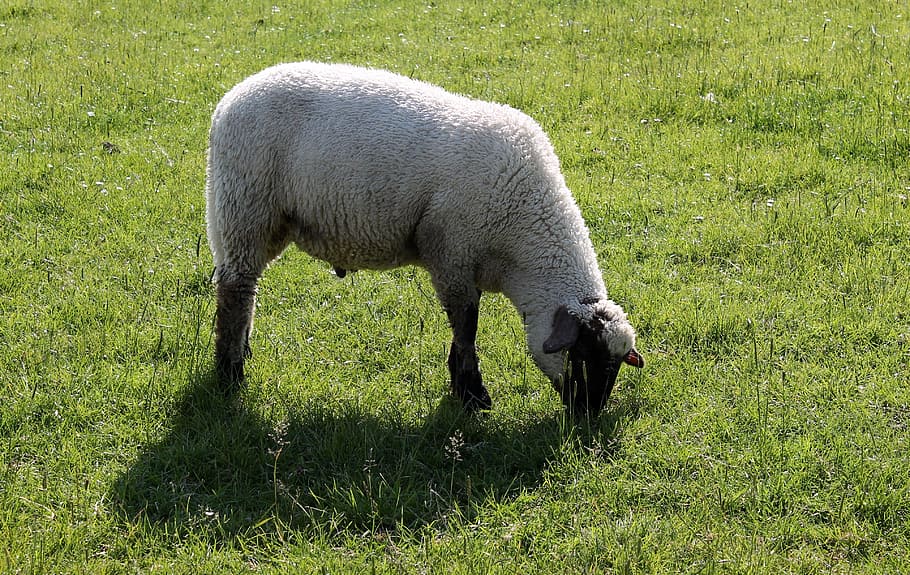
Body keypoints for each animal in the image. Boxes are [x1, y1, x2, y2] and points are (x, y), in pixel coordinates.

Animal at [206, 62, 643, 416]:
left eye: (616, 366)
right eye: (582, 355)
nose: (588, 416)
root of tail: (230, 99)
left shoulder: (465, 266)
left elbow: (463, 328)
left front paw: (461, 387)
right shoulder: (451, 254)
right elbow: (466, 328)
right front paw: (473, 396)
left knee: (246, 290)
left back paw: (241, 354)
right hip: (243, 208)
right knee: (235, 291)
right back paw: (230, 374)